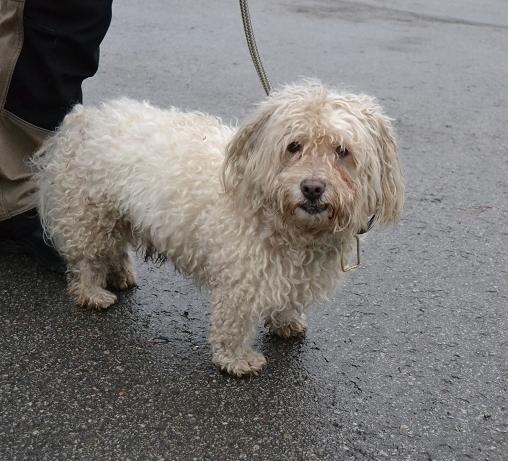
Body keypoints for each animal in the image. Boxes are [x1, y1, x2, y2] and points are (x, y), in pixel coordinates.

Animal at [33, 82, 404, 377]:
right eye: (294, 146)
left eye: (342, 151)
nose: (312, 188)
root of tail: (83, 117)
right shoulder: (241, 278)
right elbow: (234, 322)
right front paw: (237, 360)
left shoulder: (289, 273)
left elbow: (287, 299)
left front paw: (286, 322)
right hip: (89, 215)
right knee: (86, 260)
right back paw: (92, 293)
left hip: (117, 214)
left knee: (115, 248)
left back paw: (121, 275)